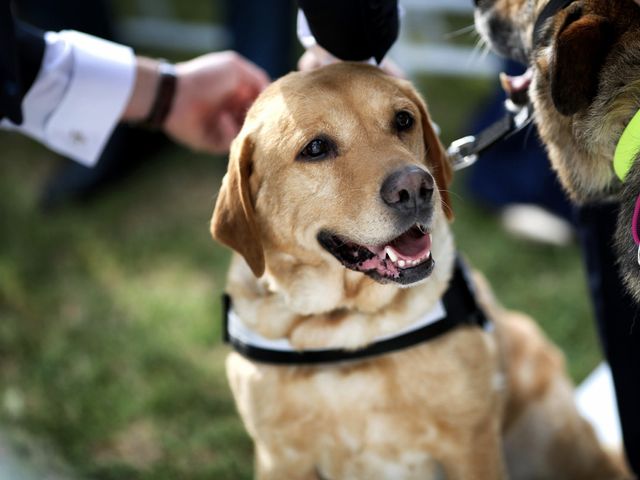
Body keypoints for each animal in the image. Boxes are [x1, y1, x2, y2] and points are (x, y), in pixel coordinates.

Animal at [209, 64, 624, 480]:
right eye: (315, 149)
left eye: (403, 120)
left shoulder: (471, 445)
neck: (346, 325)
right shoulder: (280, 458)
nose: (415, 187)